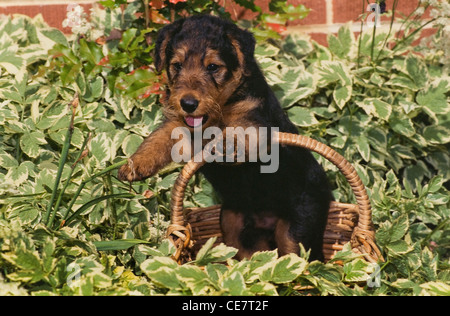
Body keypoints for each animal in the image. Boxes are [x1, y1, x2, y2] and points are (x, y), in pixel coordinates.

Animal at [119, 14, 334, 260]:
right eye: (177, 65)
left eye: (213, 67)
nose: (188, 103)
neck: (219, 109)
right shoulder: (177, 126)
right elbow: (156, 139)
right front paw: (134, 166)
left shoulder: (255, 122)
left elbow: (236, 134)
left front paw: (221, 146)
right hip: (233, 222)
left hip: (298, 226)